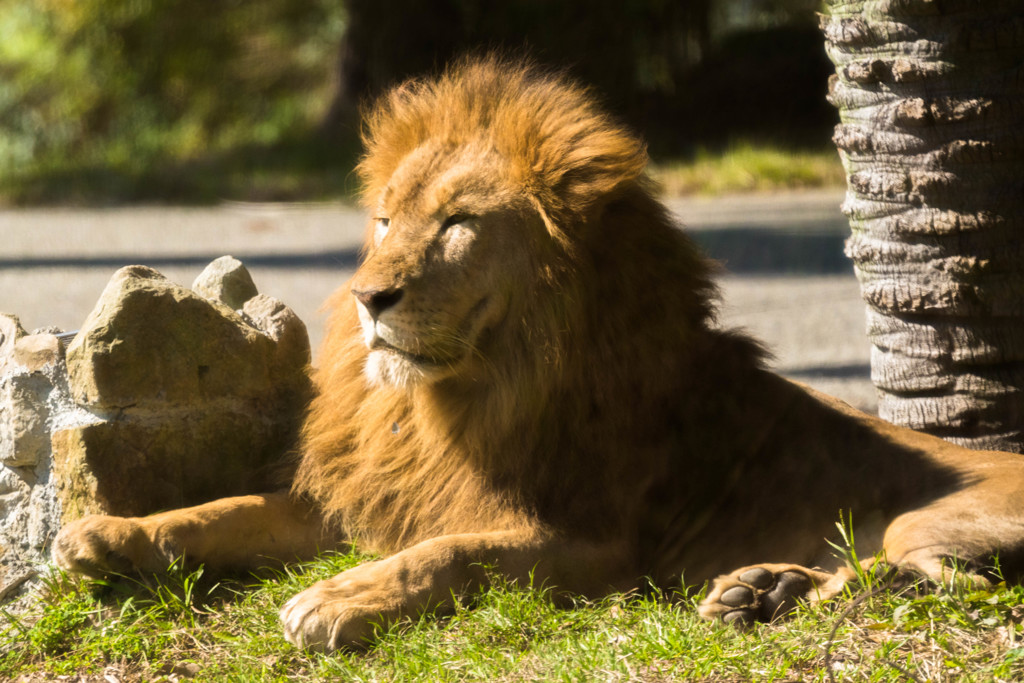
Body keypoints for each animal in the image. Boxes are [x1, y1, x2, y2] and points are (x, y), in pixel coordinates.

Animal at [51, 56, 1024, 651]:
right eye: (385, 219)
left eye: (457, 223)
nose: (368, 298)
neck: (458, 399)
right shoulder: (377, 499)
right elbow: (229, 507)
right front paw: (110, 533)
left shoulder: (601, 549)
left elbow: (451, 554)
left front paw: (338, 598)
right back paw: (758, 591)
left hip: (932, 519)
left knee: (928, 576)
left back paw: (764, 593)